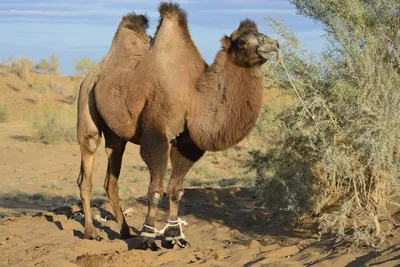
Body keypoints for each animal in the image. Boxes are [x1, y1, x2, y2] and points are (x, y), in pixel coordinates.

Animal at [76, 1, 280, 251]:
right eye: (241, 41)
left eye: (261, 33)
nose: (273, 43)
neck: (194, 94)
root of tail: (92, 74)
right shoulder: (157, 133)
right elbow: (155, 190)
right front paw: (147, 237)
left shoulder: (187, 141)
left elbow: (176, 190)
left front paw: (174, 236)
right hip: (86, 107)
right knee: (86, 169)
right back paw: (91, 232)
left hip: (116, 133)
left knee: (111, 176)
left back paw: (125, 232)